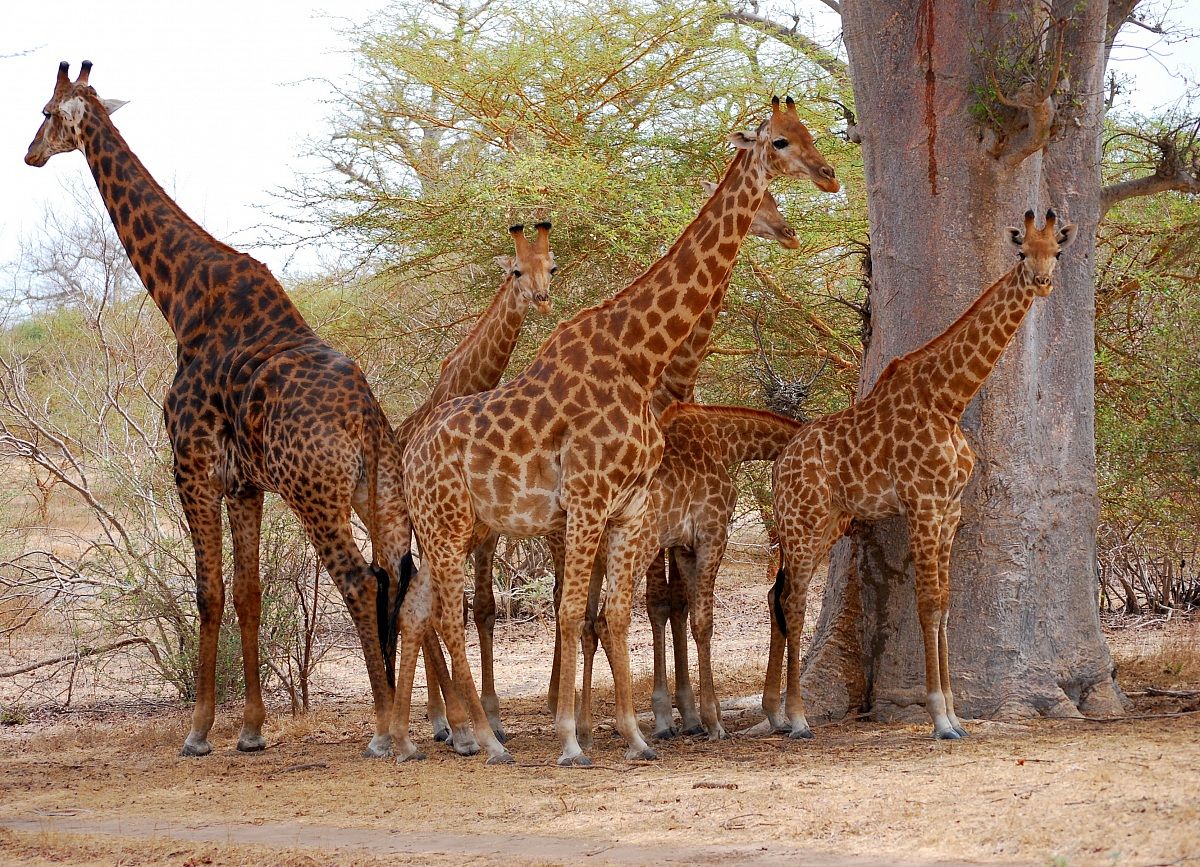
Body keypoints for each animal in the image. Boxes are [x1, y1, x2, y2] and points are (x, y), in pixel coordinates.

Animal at [25, 61, 410, 758]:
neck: (180, 299)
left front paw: (200, 731)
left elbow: (209, 592)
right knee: (403, 575)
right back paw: (442, 723)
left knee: (361, 580)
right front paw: (252, 729)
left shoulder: (193, 467)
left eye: (44, 112)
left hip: (315, 492)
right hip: (378, 489)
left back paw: (385, 730)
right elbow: (251, 594)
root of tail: (367, 419)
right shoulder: (245, 484)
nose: (29, 155)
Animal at [394, 97, 839, 766]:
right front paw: (572, 738)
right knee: (449, 616)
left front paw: (635, 733)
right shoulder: (586, 502)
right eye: (781, 142)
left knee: (420, 610)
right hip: (448, 528)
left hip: (455, 527)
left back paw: (420, 737)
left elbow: (620, 613)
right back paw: (484, 737)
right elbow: (576, 613)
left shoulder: (628, 510)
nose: (830, 176)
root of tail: (410, 450)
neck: (639, 357)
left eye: (809, 130)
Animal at [768, 210, 1077, 739]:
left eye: (1056, 251)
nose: (1042, 282)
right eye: (1022, 252)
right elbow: (928, 604)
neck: (949, 400)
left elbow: (946, 606)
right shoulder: (922, 503)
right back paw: (797, 718)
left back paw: (775, 713)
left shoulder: (950, 509)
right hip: (801, 521)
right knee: (793, 599)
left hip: (828, 522)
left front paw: (956, 713)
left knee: (779, 594)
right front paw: (939, 717)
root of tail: (780, 464)